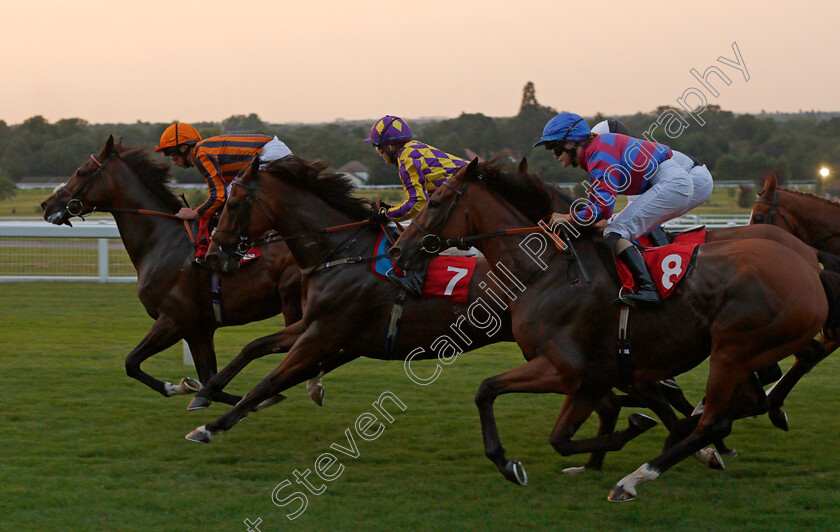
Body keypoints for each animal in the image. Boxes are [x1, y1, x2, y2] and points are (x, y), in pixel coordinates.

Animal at [40, 135, 302, 406]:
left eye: (81, 172)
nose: (46, 205)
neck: (161, 240)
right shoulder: (198, 330)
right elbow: (210, 383)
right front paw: (196, 389)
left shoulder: (173, 320)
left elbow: (131, 362)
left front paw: (176, 387)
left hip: (292, 297)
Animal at [388, 160, 840, 500]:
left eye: (436, 202)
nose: (397, 249)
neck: (545, 273)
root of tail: (809, 265)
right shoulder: (593, 377)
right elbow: (561, 435)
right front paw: (623, 435)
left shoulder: (564, 369)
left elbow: (487, 389)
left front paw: (506, 461)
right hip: (743, 352)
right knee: (750, 398)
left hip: (733, 350)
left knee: (717, 420)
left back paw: (636, 478)